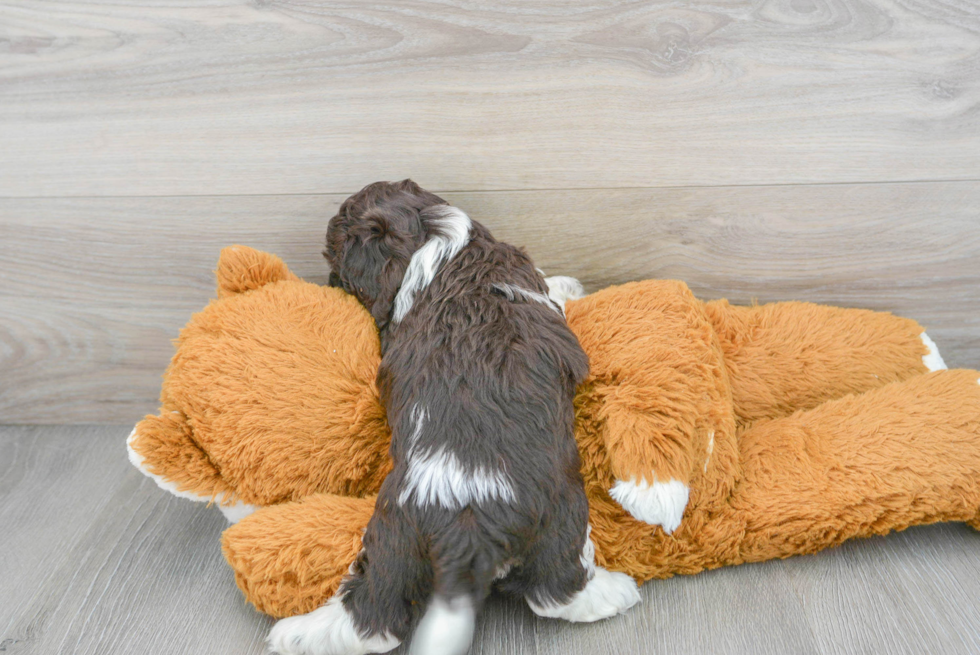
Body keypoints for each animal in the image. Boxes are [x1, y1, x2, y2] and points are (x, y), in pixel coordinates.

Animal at [264, 179, 640, 655]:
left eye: (335, 259)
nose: (331, 282)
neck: (436, 241)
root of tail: (462, 528)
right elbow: (551, 288)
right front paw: (569, 283)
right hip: (562, 513)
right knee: (556, 589)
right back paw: (616, 592)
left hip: (393, 539)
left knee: (373, 613)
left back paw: (299, 634)